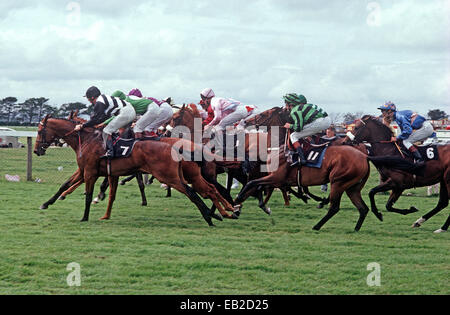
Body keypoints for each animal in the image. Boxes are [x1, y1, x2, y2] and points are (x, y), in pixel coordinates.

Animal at [33, 115, 227, 226]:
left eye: (40, 131)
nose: (36, 150)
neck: (88, 139)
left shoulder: (90, 172)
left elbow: (88, 195)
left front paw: (84, 217)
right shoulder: (84, 171)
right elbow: (65, 185)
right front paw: (46, 203)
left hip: (169, 176)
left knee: (194, 193)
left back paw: (212, 217)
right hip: (179, 175)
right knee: (205, 190)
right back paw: (218, 214)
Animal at [234, 144, 382, 231]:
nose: (245, 172)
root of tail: (365, 156)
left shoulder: (276, 178)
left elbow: (253, 183)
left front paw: (238, 198)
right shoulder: (277, 182)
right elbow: (258, 186)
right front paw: (262, 206)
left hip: (338, 183)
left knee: (334, 208)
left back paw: (317, 226)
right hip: (352, 188)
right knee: (363, 208)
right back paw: (356, 228)